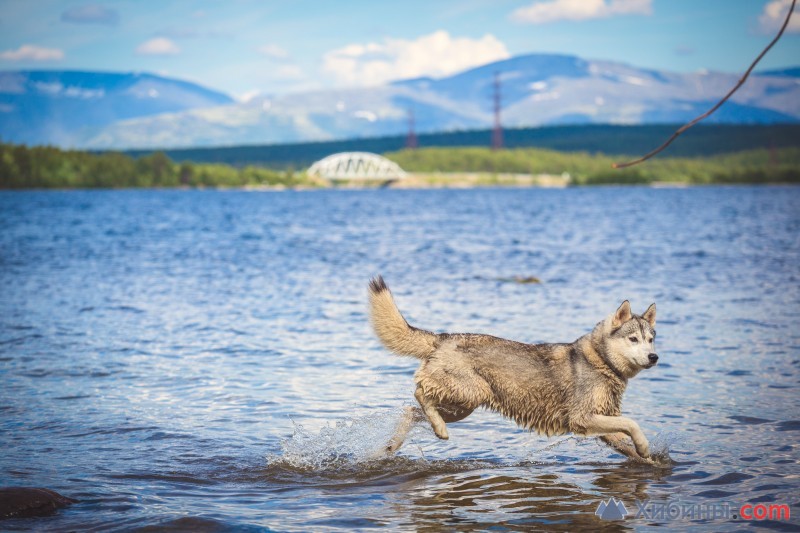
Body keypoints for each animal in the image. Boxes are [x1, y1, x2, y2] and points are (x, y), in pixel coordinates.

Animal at [368, 276, 656, 460]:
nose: (654, 357)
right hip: (469, 394)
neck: (602, 362)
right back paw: (437, 429)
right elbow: (632, 423)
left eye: (651, 338)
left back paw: (397, 444)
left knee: (412, 411)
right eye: (633, 339)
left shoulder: (600, 423)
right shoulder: (581, 418)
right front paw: (644, 446)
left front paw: (648, 458)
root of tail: (442, 337)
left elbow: (627, 440)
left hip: (461, 406)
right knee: (418, 394)